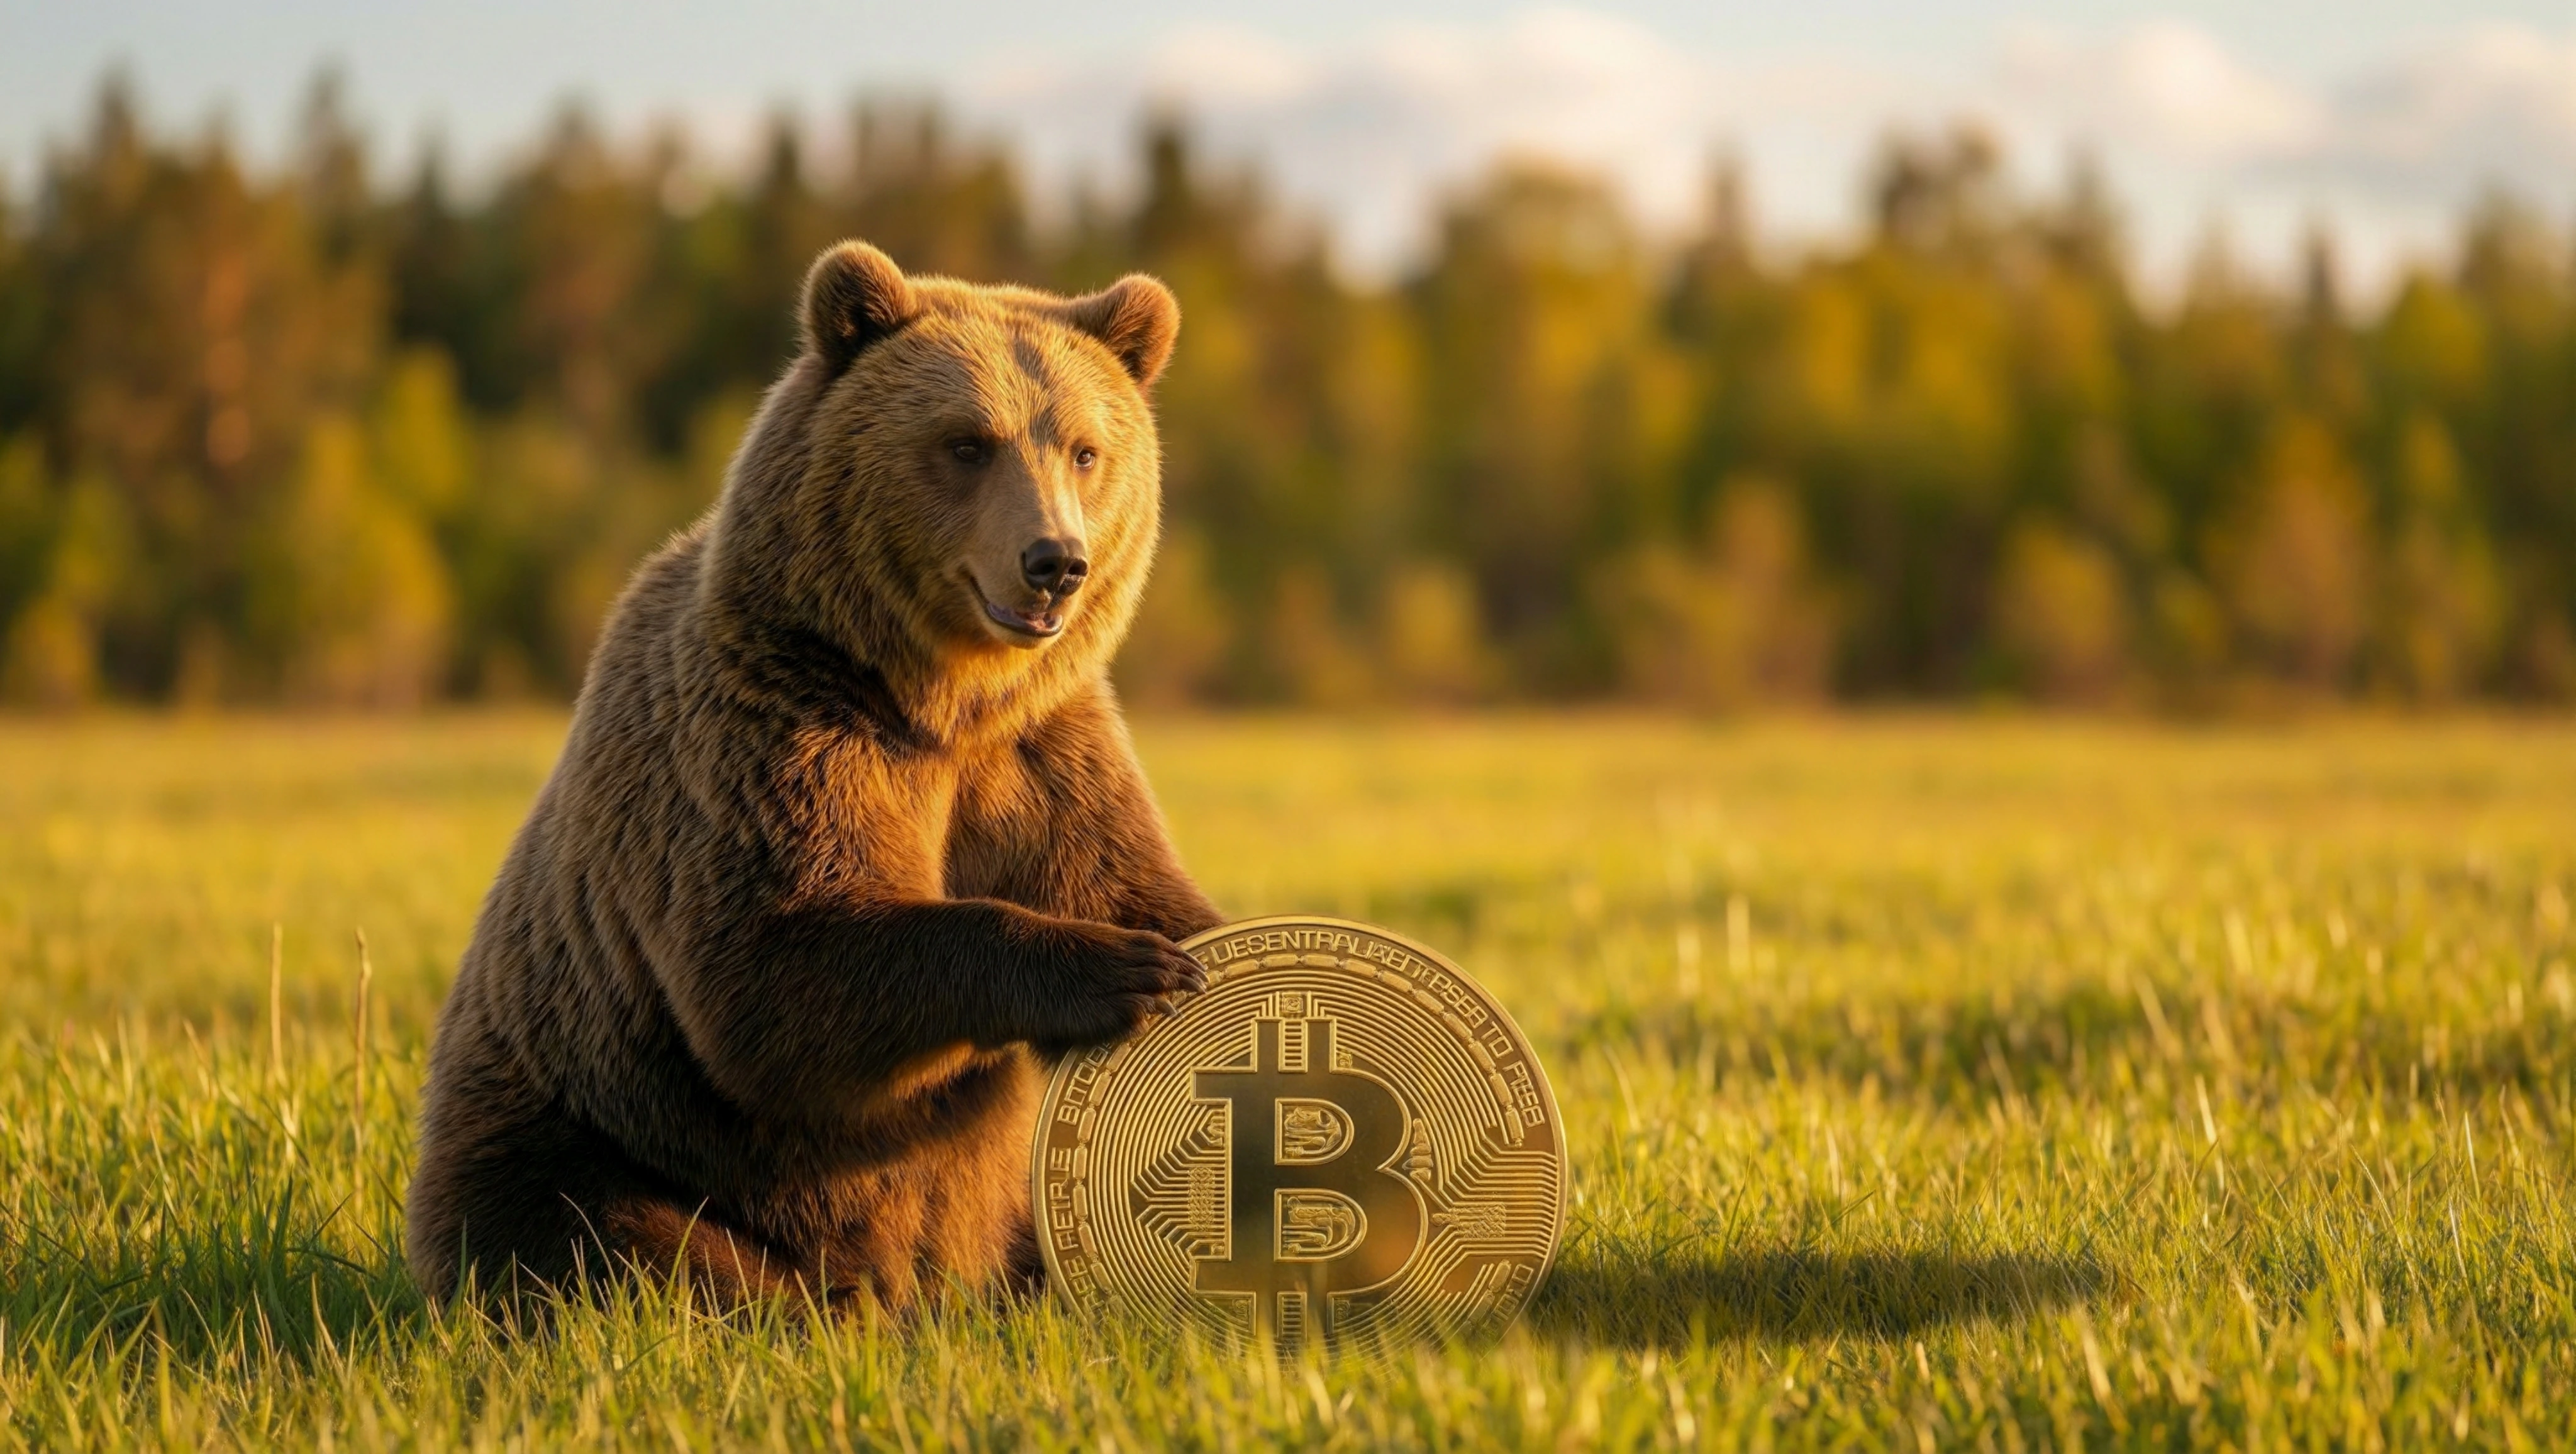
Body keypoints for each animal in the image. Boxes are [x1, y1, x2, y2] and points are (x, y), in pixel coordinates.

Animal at [404, 240, 1225, 1314]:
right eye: (969, 442)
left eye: (1084, 449)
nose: (1055, 561)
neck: (936, 699)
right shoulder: (773, 732)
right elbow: (776, 968)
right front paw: (1123, 968)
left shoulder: (1045, 755)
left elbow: (1128, 877)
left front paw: (1194, 959)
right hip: (571, 1130)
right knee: (616, 1245)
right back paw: (823, 1306)